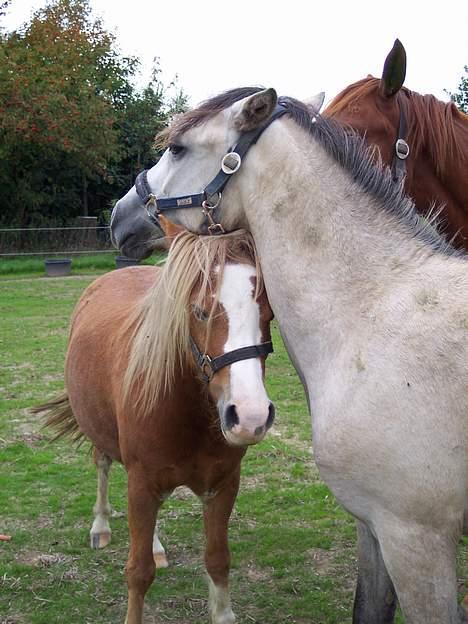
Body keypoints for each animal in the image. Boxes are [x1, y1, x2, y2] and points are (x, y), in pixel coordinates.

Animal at [35, 218, 274, 624]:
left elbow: (217, 560)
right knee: (101, 465)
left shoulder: (222, 486)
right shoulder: (141, 484)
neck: (185, 412)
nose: (250, 416)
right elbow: (138, 572)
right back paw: (100, 526)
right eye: (199, 311)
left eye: (268, 315)